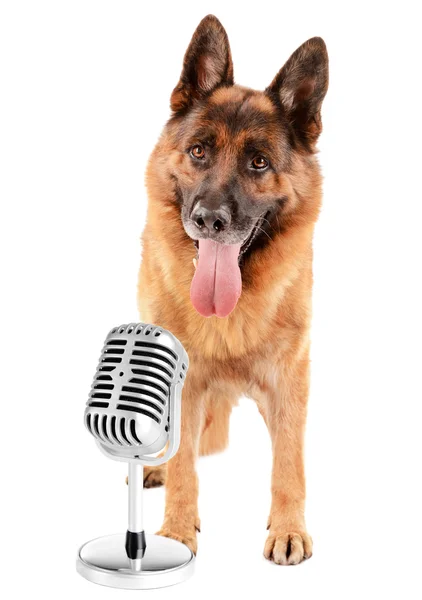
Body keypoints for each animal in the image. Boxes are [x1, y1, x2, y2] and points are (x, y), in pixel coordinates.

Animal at [137, 15, 328, 568]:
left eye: (259, 162)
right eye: (199, 150)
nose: (208, 220)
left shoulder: (289, 385)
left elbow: (289, 465)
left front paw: (288, 528)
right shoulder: (186, 385)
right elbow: (183, 466)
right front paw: (177, 531)